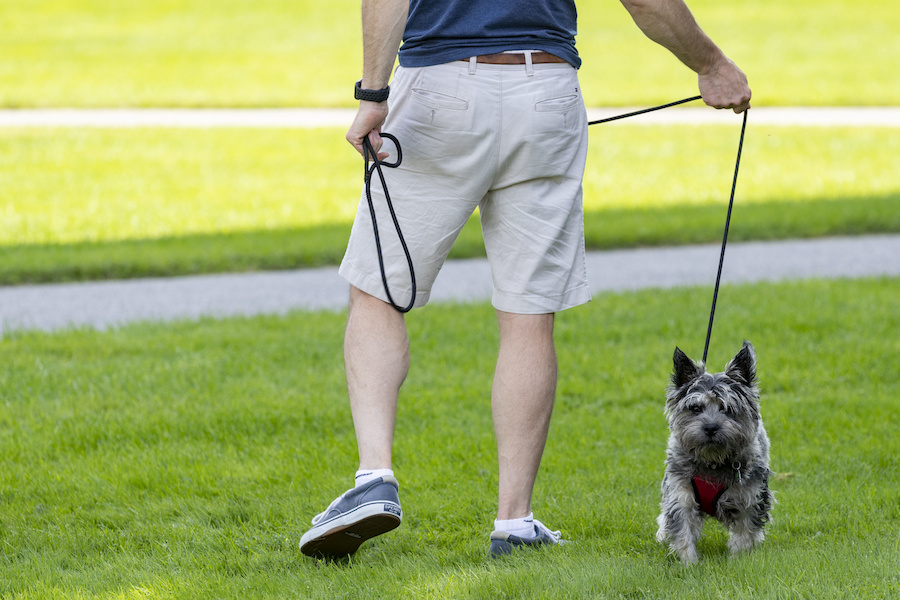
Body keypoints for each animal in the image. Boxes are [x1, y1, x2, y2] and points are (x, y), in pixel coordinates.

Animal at [652, 342, 772, 564]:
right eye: (695, 408)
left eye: (727, 408)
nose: (710, 427)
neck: (712, 461)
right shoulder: (680, 494)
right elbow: (683, 532)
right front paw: (689, 563)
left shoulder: (750, 498)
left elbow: (745, 533)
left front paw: (739, 560)